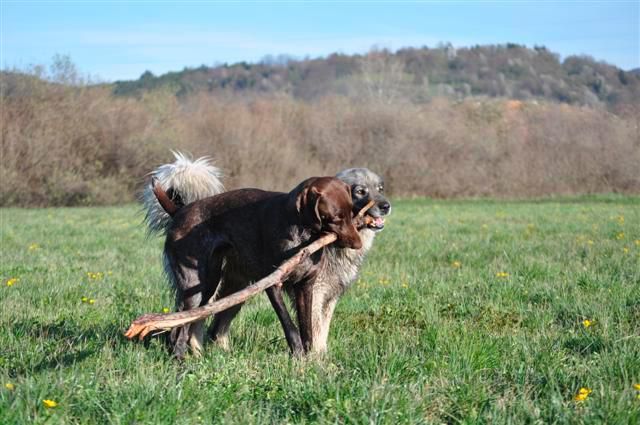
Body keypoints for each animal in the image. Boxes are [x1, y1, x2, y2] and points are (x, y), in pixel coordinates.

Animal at [151, 176, 360, 358]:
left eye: (351, 212)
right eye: (336, 217)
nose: (358, 245)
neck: (303, 234)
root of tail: (179, 212)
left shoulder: (306, 286)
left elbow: (306, 327)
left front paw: (310, 358)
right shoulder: (273, 284)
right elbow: (290, 325)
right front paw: (298, 353)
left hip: (209, 285)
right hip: (195, 286)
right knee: (181, 326)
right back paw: (180, 360)